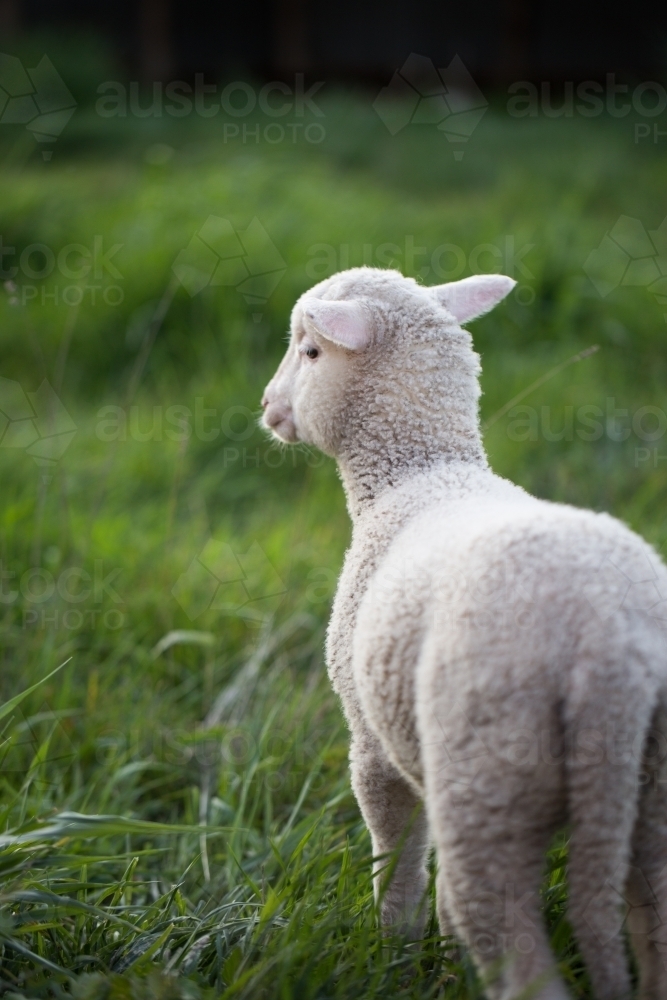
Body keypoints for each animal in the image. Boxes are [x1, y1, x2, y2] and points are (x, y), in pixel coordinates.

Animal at [262, 266, 667, 1000]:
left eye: (308, 350)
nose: (268, 407)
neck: (419, 472)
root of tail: (606, 652)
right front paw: (444, 962)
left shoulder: (372, 738)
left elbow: (396, 858)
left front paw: (394, 951)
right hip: (651, 789)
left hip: (488, 777)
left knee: (512, 946)